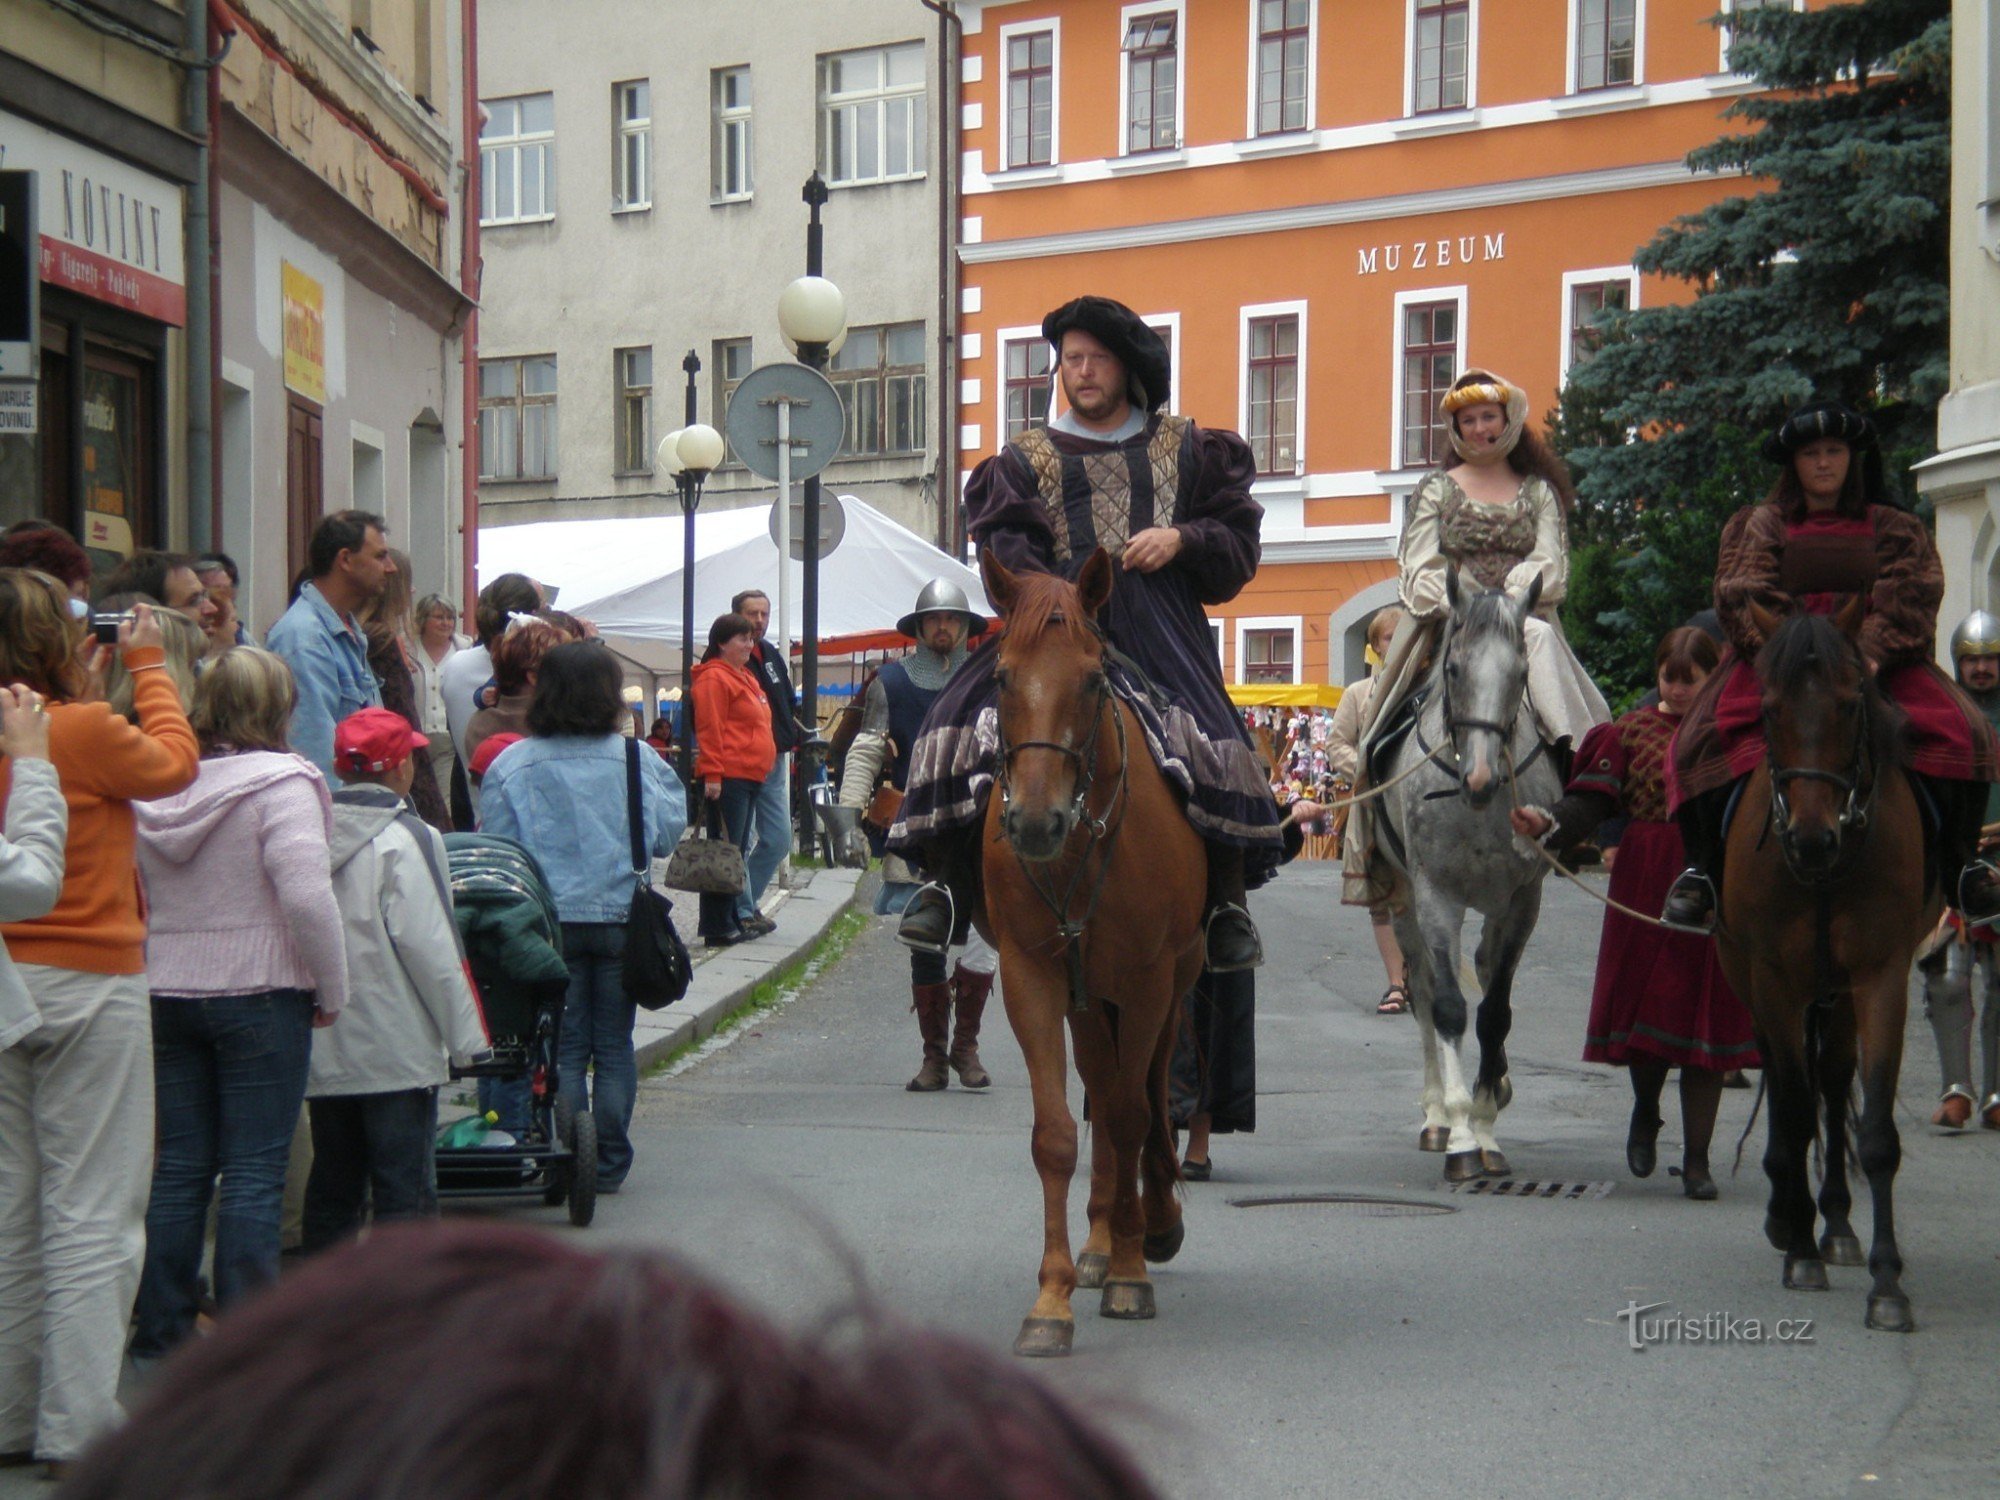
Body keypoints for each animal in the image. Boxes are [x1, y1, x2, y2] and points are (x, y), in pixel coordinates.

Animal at [972, 548, 1200, 1360]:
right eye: (1002, 676)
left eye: (1095, 679)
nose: (1035, 823)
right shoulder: (1032, 978)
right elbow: (1057, 1135)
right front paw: (1053, 1297)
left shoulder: (1148, 982)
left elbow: (1133, 1116)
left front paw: (1133, 1270)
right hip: (1087, 998)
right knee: (1101, 1088)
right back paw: (1102, 1239)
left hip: (1173, 984)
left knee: (1148, 1091)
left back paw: (1149, 1225)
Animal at [1376, 568, 1560, 1184]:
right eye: (1453, 669)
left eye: (1523, 673)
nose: (1479, 780)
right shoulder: (1436, 897)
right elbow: (1451, 1009)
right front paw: (1459, 1134)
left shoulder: (1523, 901)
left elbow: (1495, 1013)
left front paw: (1484, 1125)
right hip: (1403, 901)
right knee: (1425, 994)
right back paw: (1436, 1116)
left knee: (1482, 972)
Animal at [1720, 604, 1936, 1336]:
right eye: (1768, 708)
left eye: (1848, 704)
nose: (1812, 839)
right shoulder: (1774, 983)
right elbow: (1790, 1104)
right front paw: (1799, 1249)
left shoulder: (1881, 979)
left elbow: (1875, 1134)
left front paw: (1888, 1284)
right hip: (1750, 977)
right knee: (1791, 1084)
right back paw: (1790, 1218)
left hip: (1837, 995)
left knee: (1836, 1081)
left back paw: (1837, 1222)